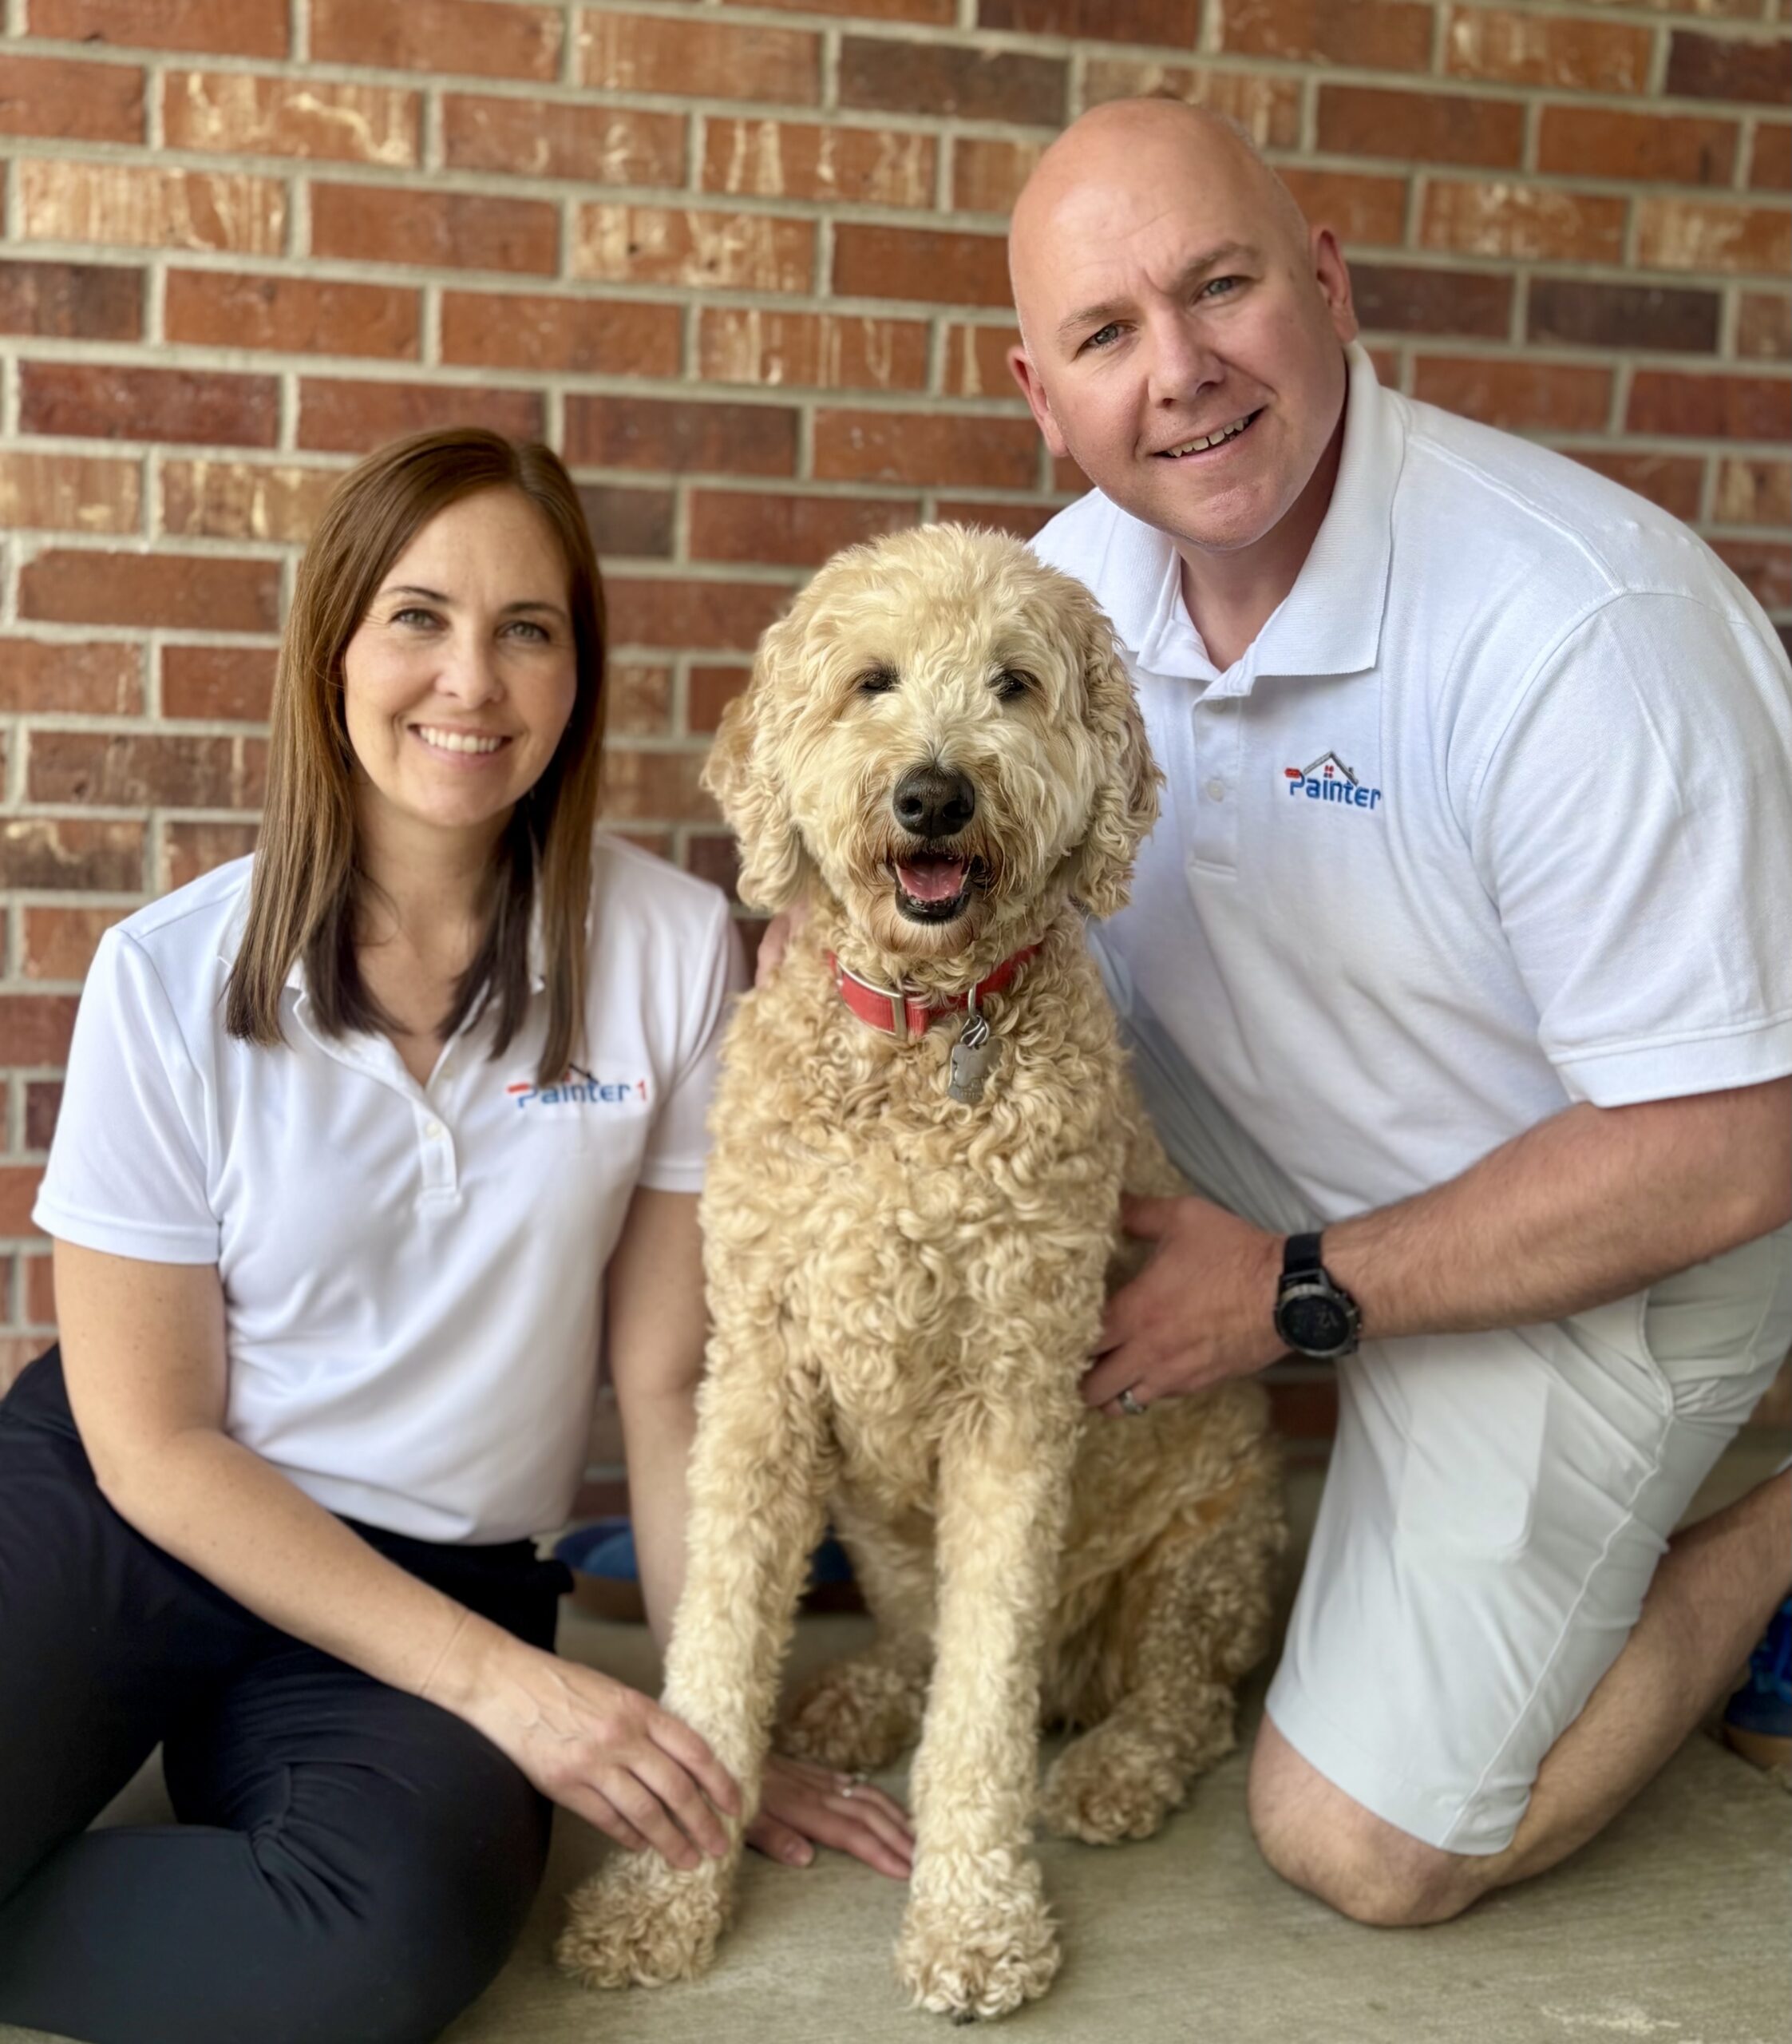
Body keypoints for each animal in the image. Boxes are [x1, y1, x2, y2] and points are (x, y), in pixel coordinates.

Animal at [558, 525, 1284, 2020]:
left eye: (1015, 684)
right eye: (872, 682)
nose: (935, 796)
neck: (920, 1037)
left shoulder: (1018, 1401)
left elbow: (982, 1708)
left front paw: (976, 1923)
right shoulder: (761, 1378)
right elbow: (715, 1646)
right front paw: (663, 1896)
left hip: (1212, 1548)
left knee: (1177, 1698)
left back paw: (1112, 1767)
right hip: (885, 1529)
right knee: (920, 1638)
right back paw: (862, 1695)